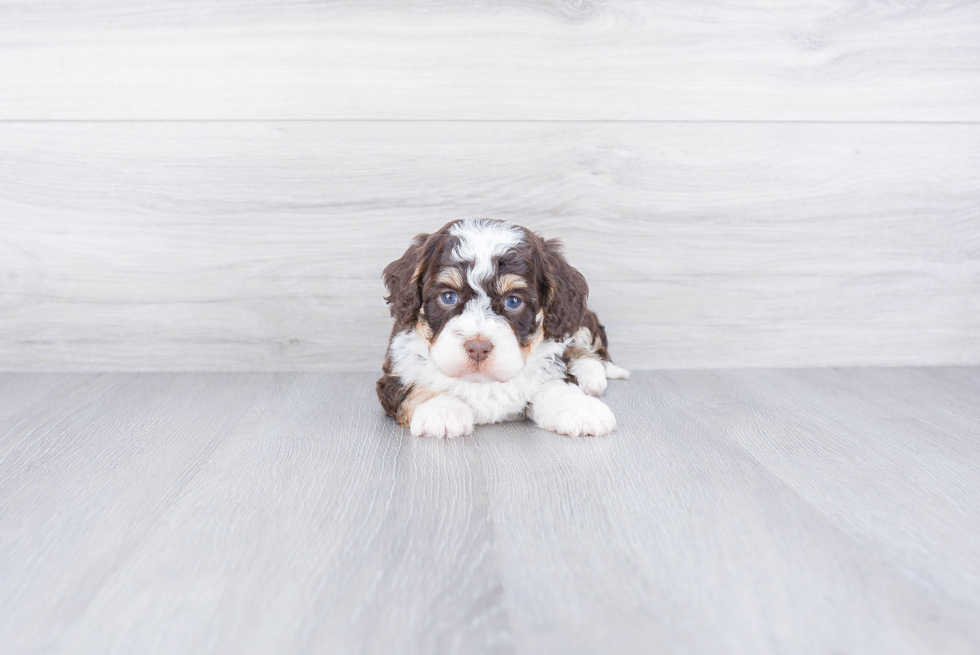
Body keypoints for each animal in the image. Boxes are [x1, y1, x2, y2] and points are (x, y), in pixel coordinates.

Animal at [376, 218, 628, 438]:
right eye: (448, 297)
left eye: (513, 301)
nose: (478, 348)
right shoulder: (394, 374)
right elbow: (415, 386)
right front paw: (442, 410)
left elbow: (555, 384)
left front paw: (578, 408)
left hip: (579, 319)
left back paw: (590, 379)